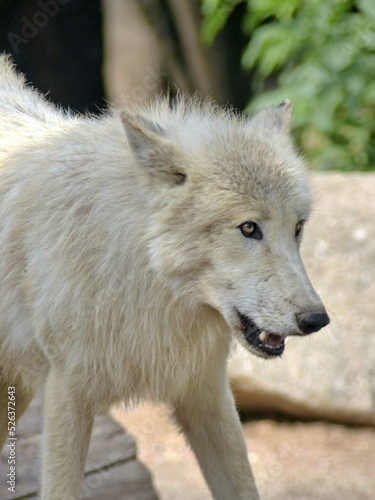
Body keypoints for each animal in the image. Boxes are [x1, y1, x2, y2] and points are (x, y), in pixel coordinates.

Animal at [0, 55, 328, 500]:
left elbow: (243, 486)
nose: (317, 319)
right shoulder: (67, 393)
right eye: (248, 228)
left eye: (297, 228)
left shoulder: (205, 391)